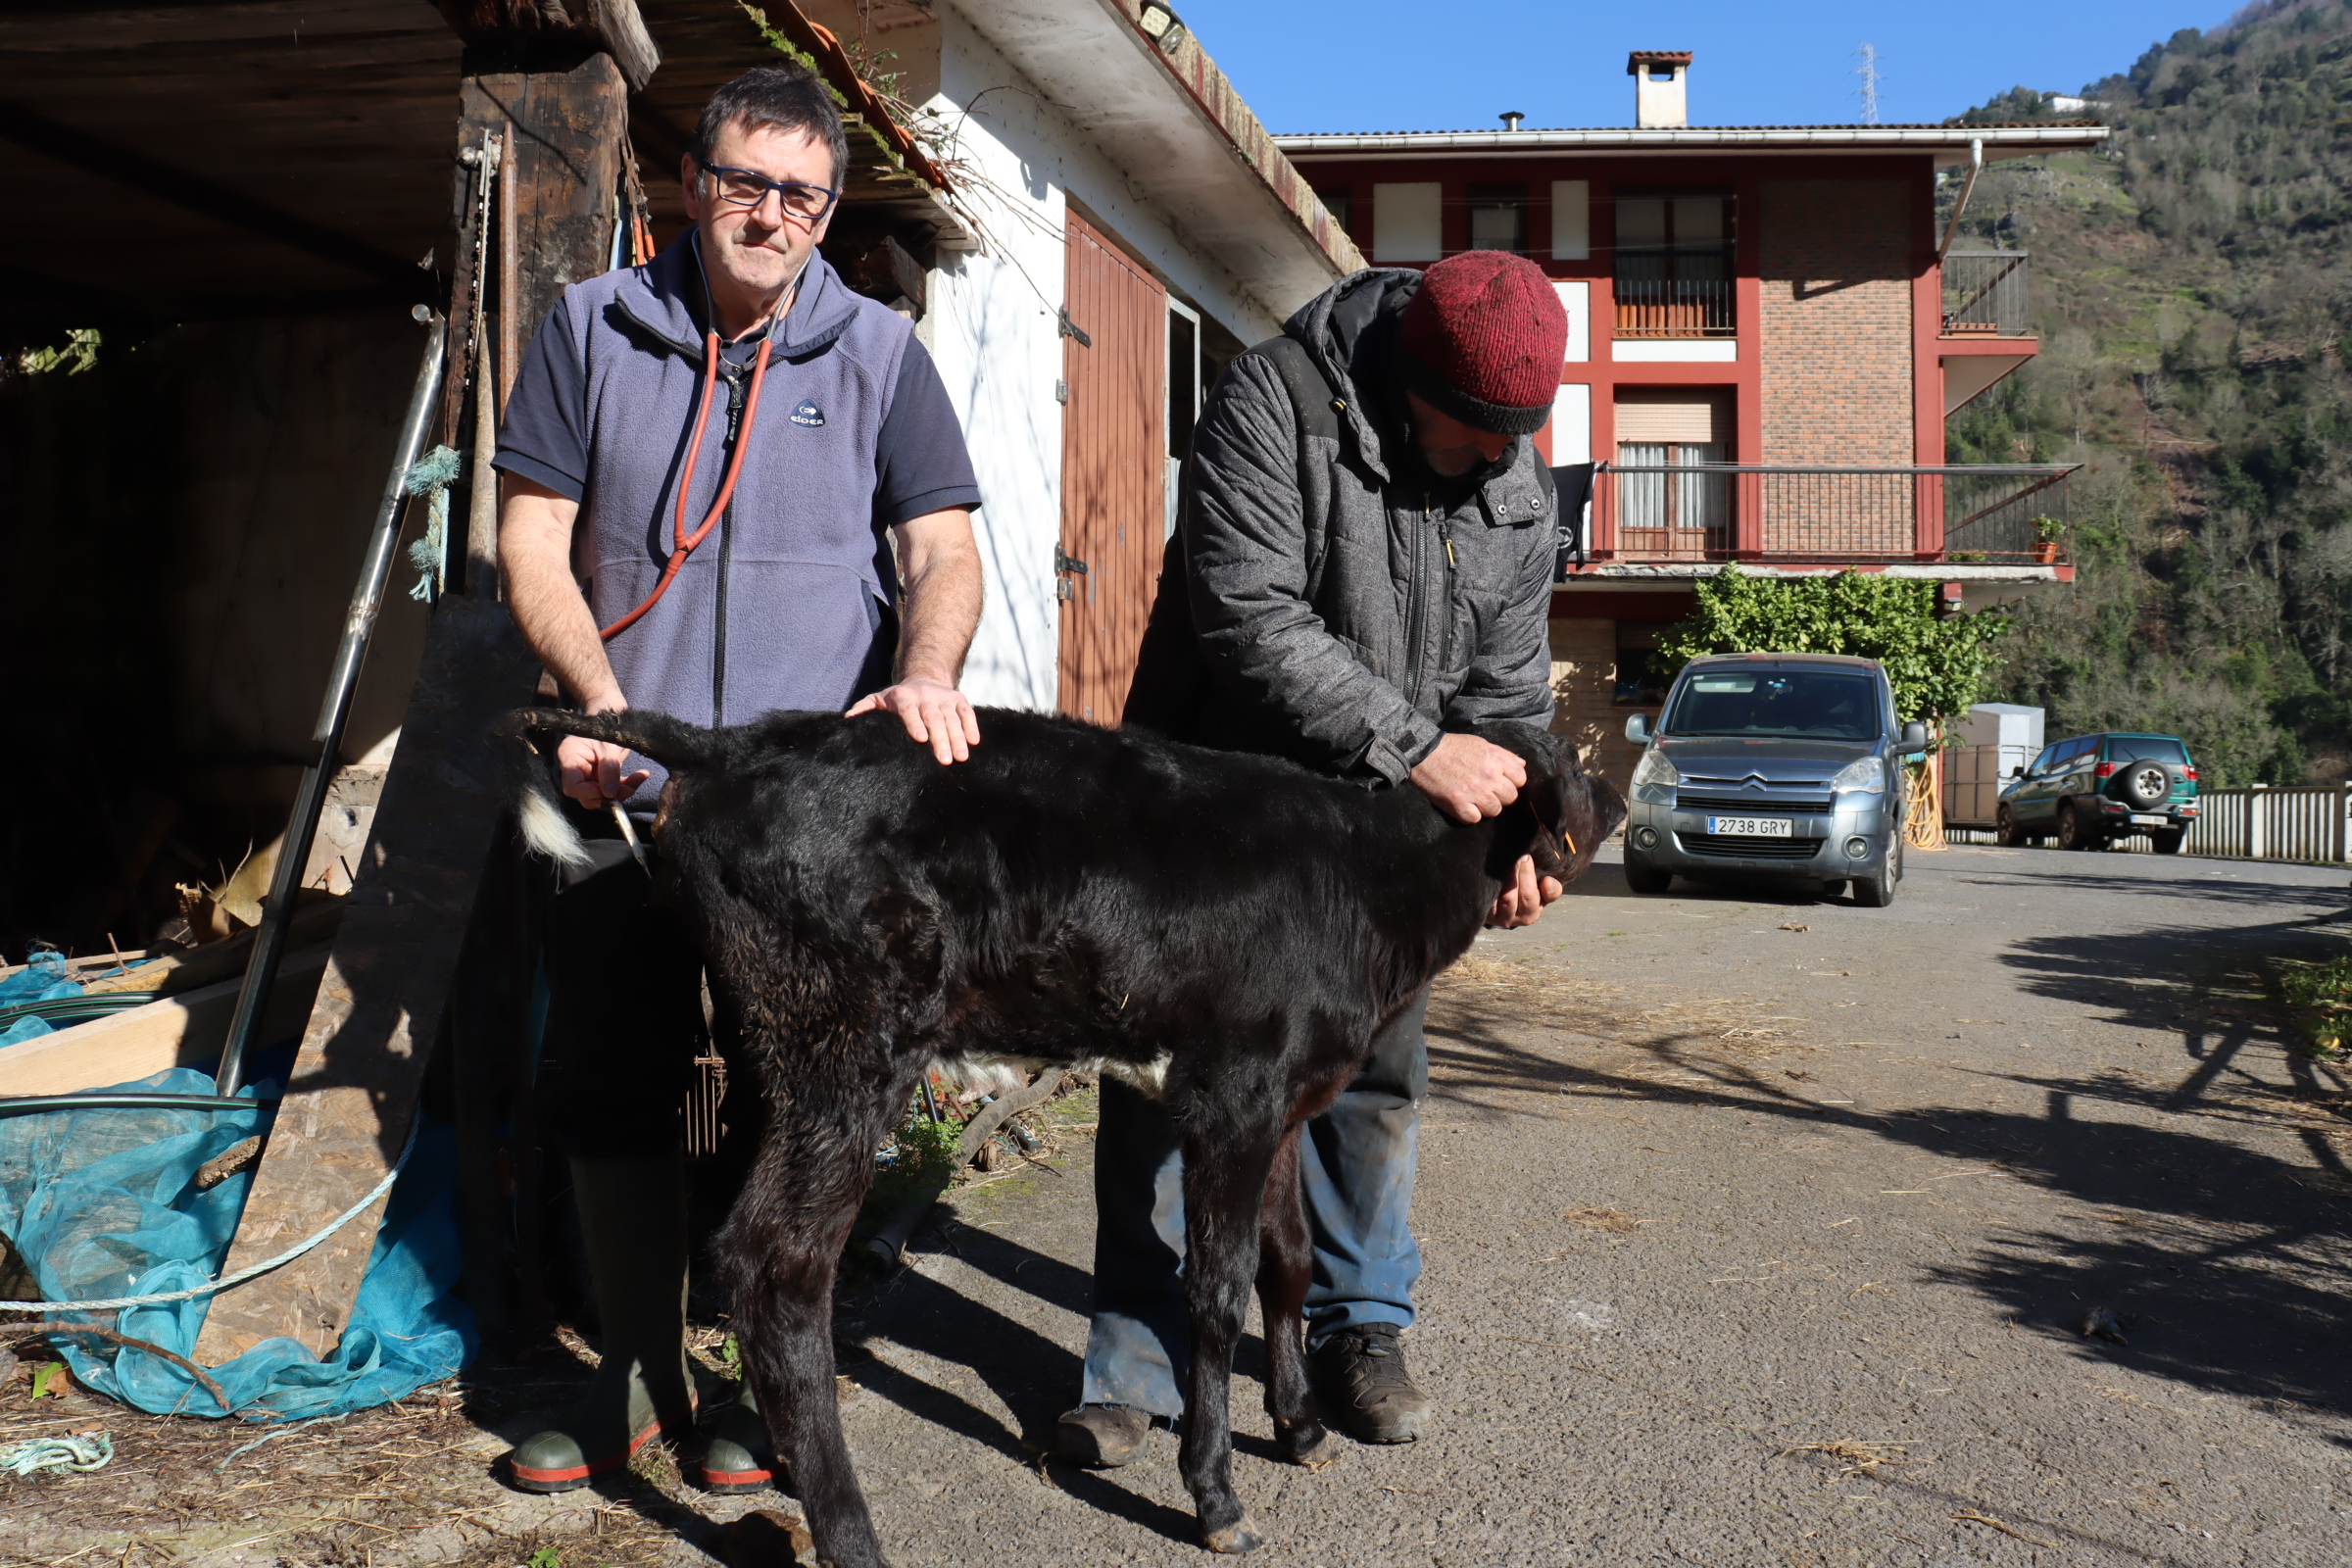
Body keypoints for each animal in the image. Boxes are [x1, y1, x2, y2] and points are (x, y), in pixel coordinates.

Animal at [504, 704, 1625, 1563]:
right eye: (1571, 760)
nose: (1615, 799)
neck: (1369, 877)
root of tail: (732, 742)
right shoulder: (1233, 1096)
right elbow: (1214, 1290)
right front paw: (1216, 1496)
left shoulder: (1281, 1100)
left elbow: (1289, 1261)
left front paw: (1302, 1426)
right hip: (845, 1045)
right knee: (776, 1265)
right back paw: (851, 1532)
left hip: (766, 1048)